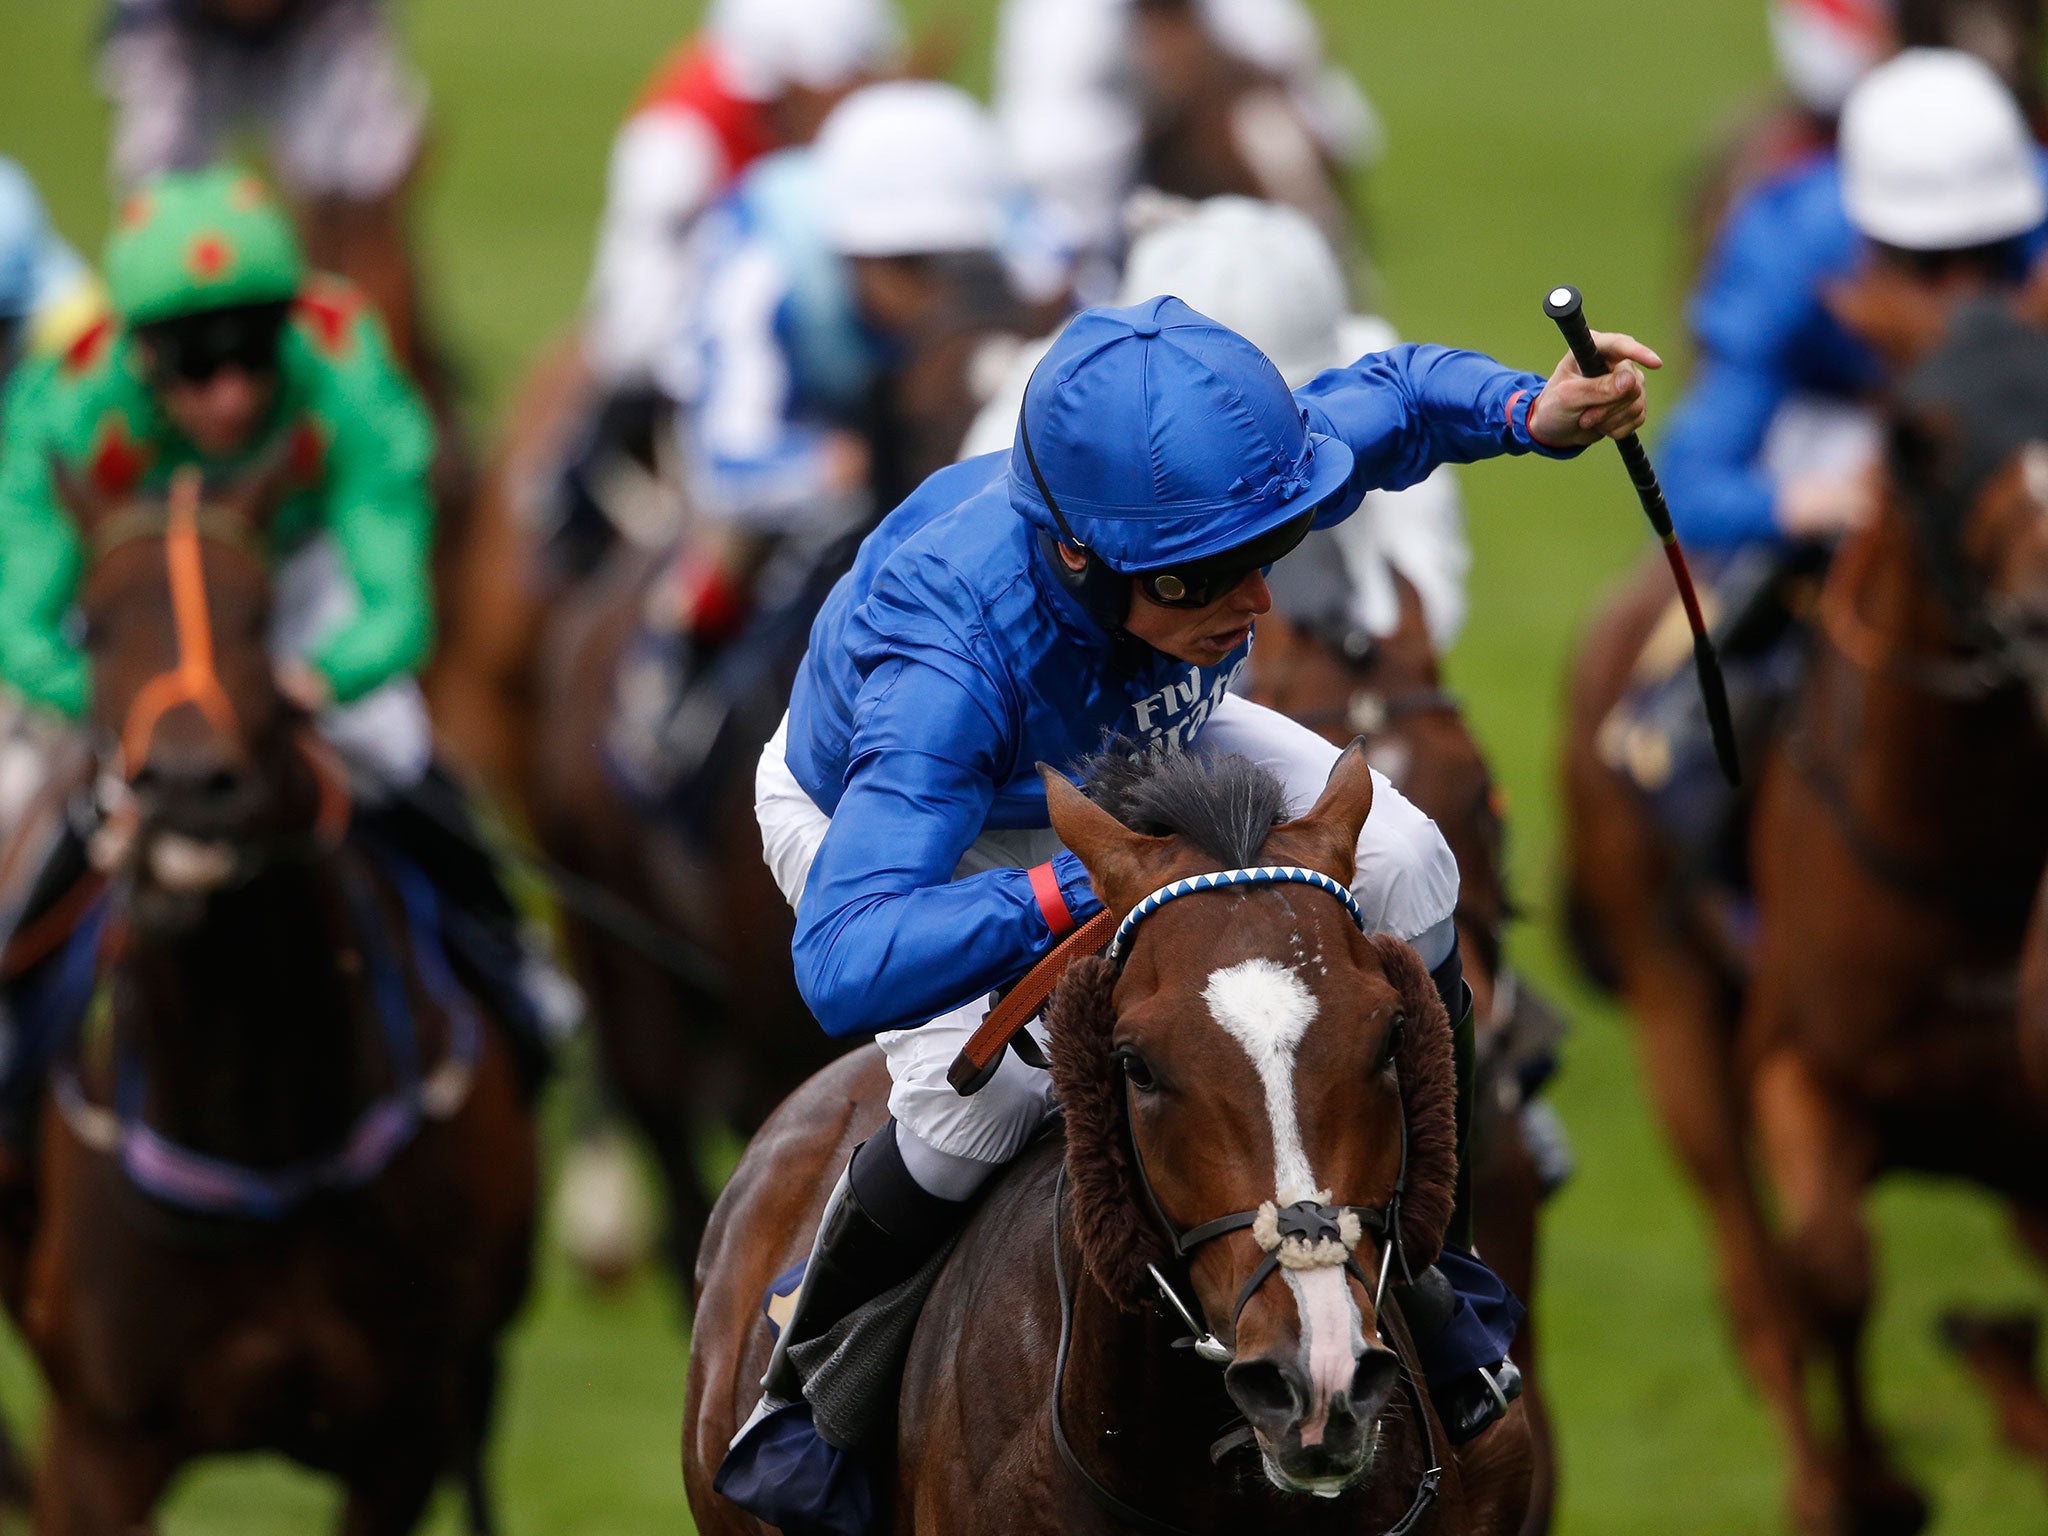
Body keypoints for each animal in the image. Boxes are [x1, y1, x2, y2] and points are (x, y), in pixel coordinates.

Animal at [0, 460, 532, 1536]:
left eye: (261, 620)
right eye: (92, 625)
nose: (186, 787)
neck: (262, 1133)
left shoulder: (400, 1441)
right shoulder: (100, 1446)